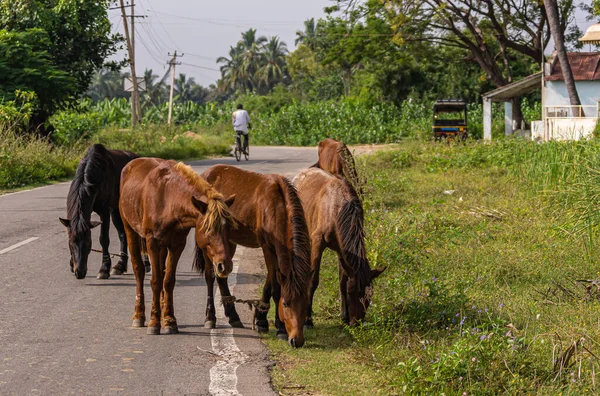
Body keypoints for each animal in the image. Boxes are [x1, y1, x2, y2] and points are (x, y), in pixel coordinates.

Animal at [60, 144, 142, 280]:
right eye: (71, 242)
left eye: (88, 242)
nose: (80, 272)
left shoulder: (105, 211)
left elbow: (104, 238)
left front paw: (104, 269)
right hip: (116, 210)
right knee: (122, 234)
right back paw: (120, 266)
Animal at [119, 158, 237, 334]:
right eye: (208, 229)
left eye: (228, 228)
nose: (225, 265)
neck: (169, 199)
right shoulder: (152, 242)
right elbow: (156, 280)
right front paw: (154, 322)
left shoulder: (177, 244)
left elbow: (168, 281)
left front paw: (169, 319)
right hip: (130, 230)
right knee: (139, 271)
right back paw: (139, 315)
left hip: (163, 247)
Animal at [203, 164, 314, 346]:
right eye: (286, 303)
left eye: (305, 304)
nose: (296, 341)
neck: (277, 206)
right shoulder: (267, 248)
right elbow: (276, 288)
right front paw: (280, 329)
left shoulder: (274, 251)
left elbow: (270, 282)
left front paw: (262, 319)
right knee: (210, 276)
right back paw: (210, 317)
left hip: (229, 242)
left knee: (221, 275)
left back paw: (232, 316)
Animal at [294, 167, 384, 328]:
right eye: (351, 292)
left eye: (369, 297)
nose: (356, 323)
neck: (337, 209)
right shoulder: (317, 242)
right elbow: (313, 280)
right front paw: (307, 319)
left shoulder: (343, 250)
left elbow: (342, 280)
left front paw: (344, 316)